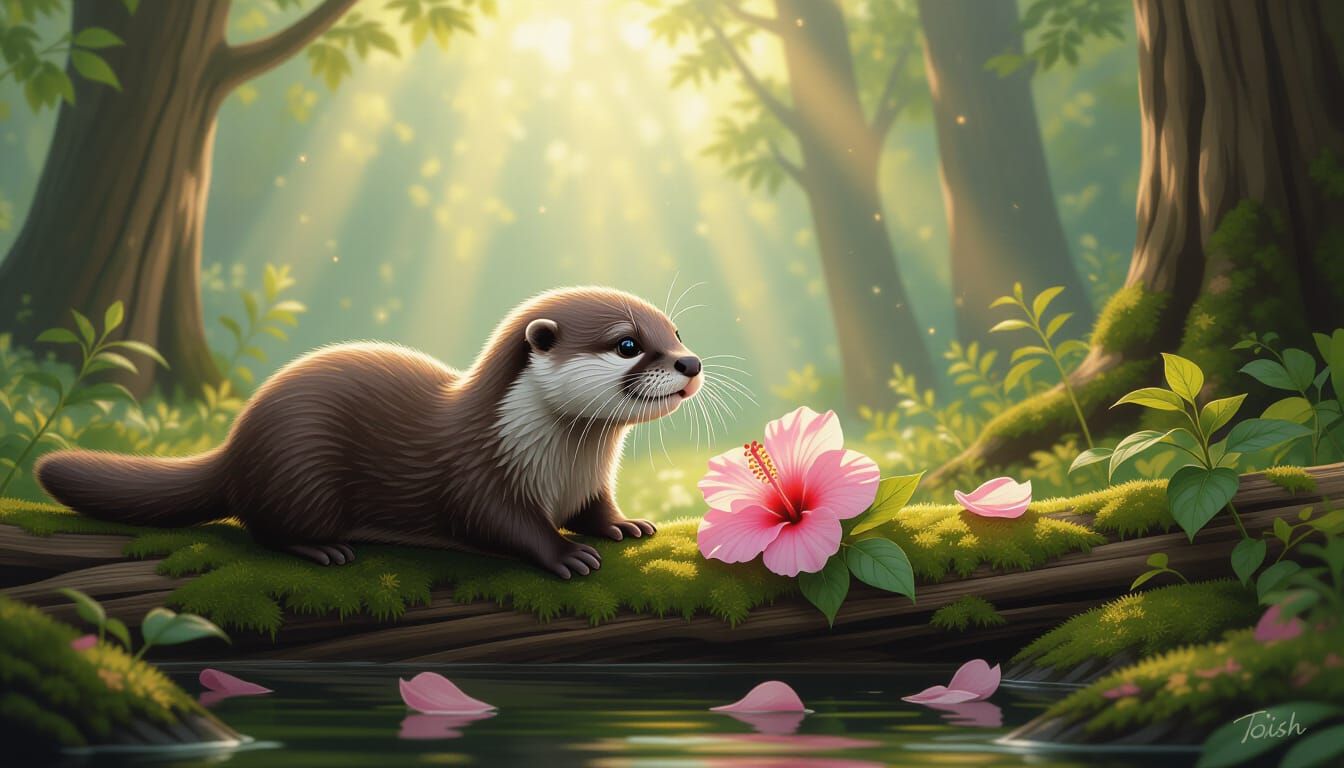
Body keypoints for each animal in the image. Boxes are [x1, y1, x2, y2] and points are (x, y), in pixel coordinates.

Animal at [35, 287, 703, 579]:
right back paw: (322, 549)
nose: (691, 363)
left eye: (675, 333)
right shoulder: (476, 475)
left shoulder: (591, 483)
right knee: (263, 527)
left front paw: (624, 524)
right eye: (627, 344)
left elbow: (597, 509)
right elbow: (501, 524)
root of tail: (237, 443)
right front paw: (565, 554)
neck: (562, 465)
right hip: (297, 469)